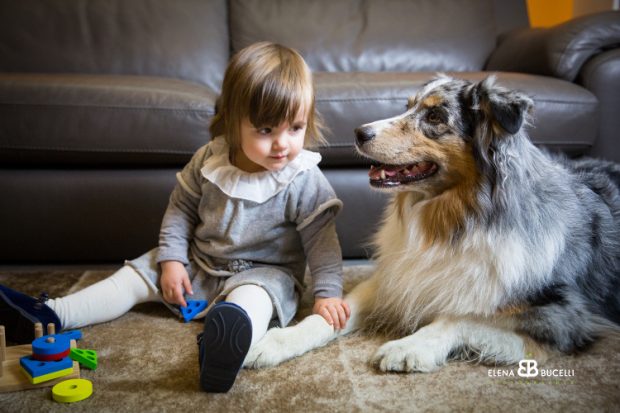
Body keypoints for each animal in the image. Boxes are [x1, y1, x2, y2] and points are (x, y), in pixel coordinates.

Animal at [243, 75, 620, 372]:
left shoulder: (564, 317)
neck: (449, 220)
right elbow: (335, 311)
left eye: (436, 116)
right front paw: (278, 340)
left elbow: (459, 317)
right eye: (407, 106)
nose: (359, 132)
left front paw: (408, 346)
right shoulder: (397, 276)